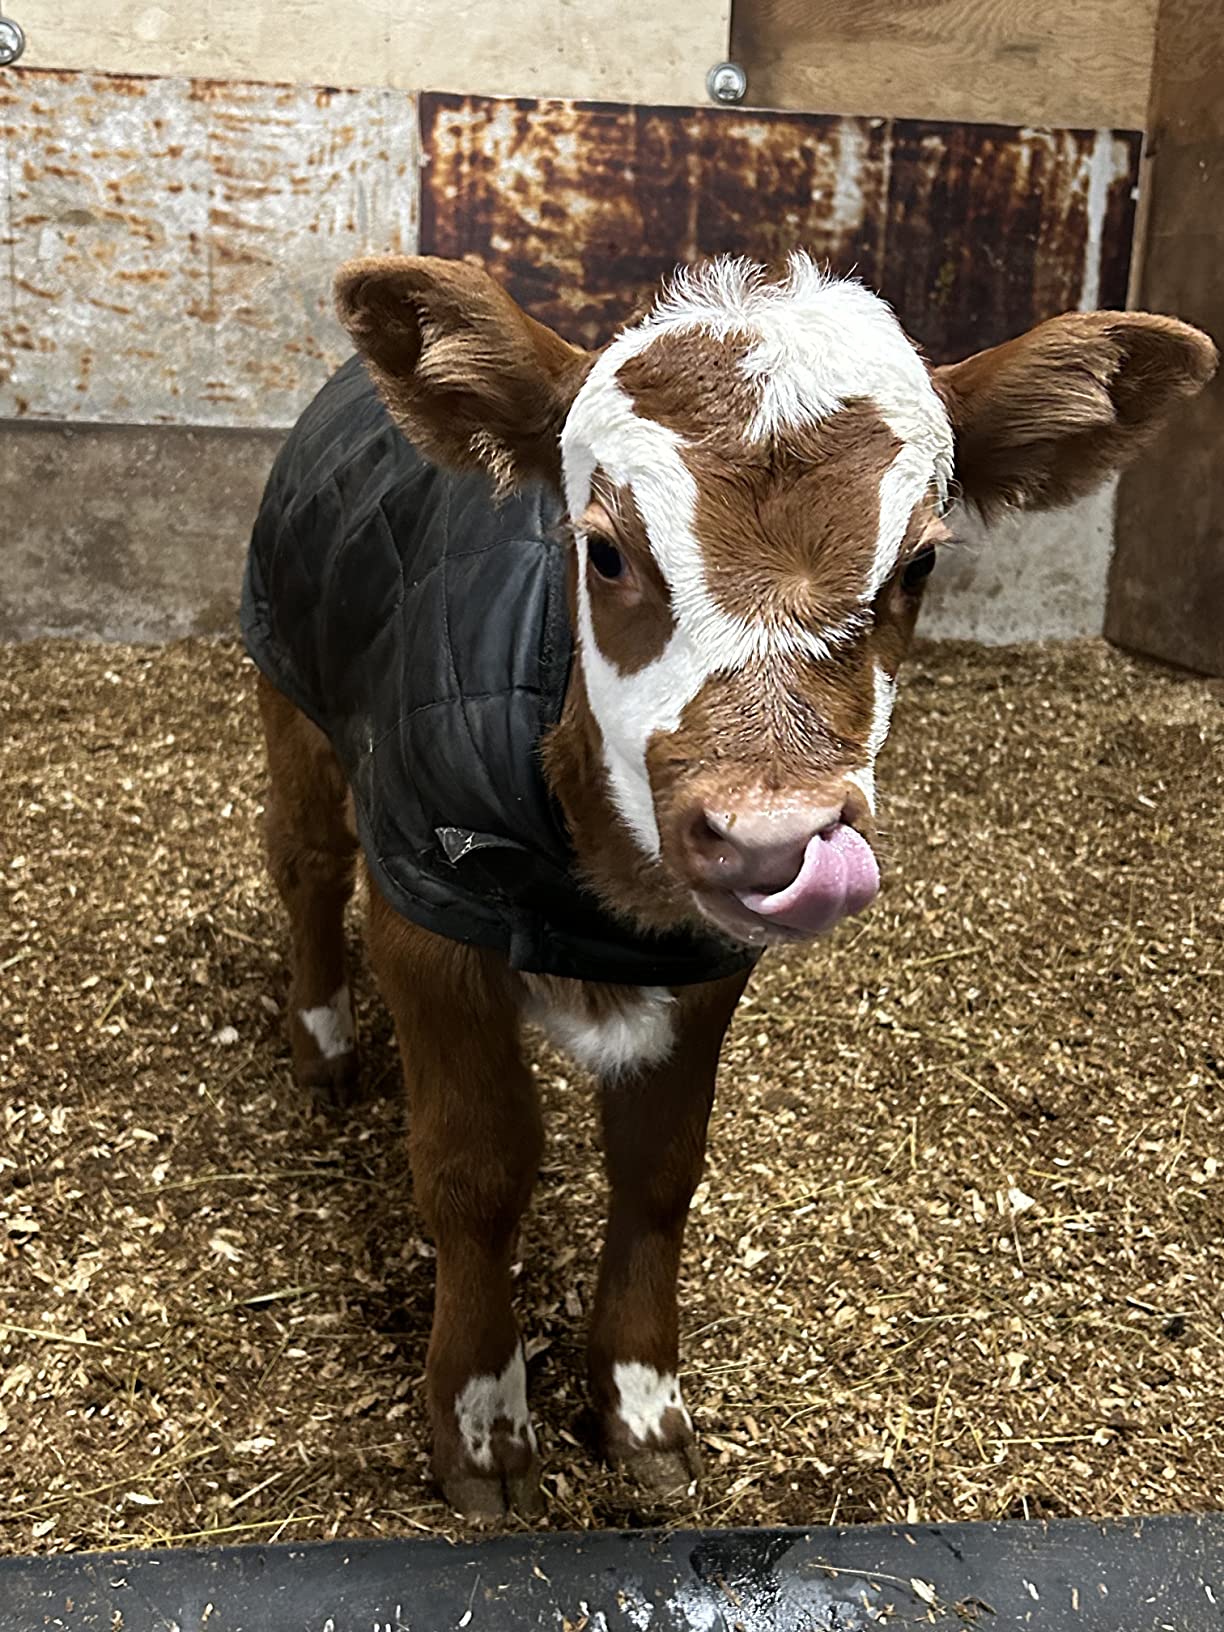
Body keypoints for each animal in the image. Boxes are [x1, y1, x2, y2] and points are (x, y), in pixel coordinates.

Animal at [241, 251, 1215, 1520]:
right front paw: (484, 1424)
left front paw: (642, 1405)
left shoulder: (708, 965)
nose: (769, 839)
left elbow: (661, 1169)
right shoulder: (429, 911)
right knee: (305, 861)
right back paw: (323, 1043)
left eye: (919, 563)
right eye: (604, 550)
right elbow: (474, 1169)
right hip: (295, 693)